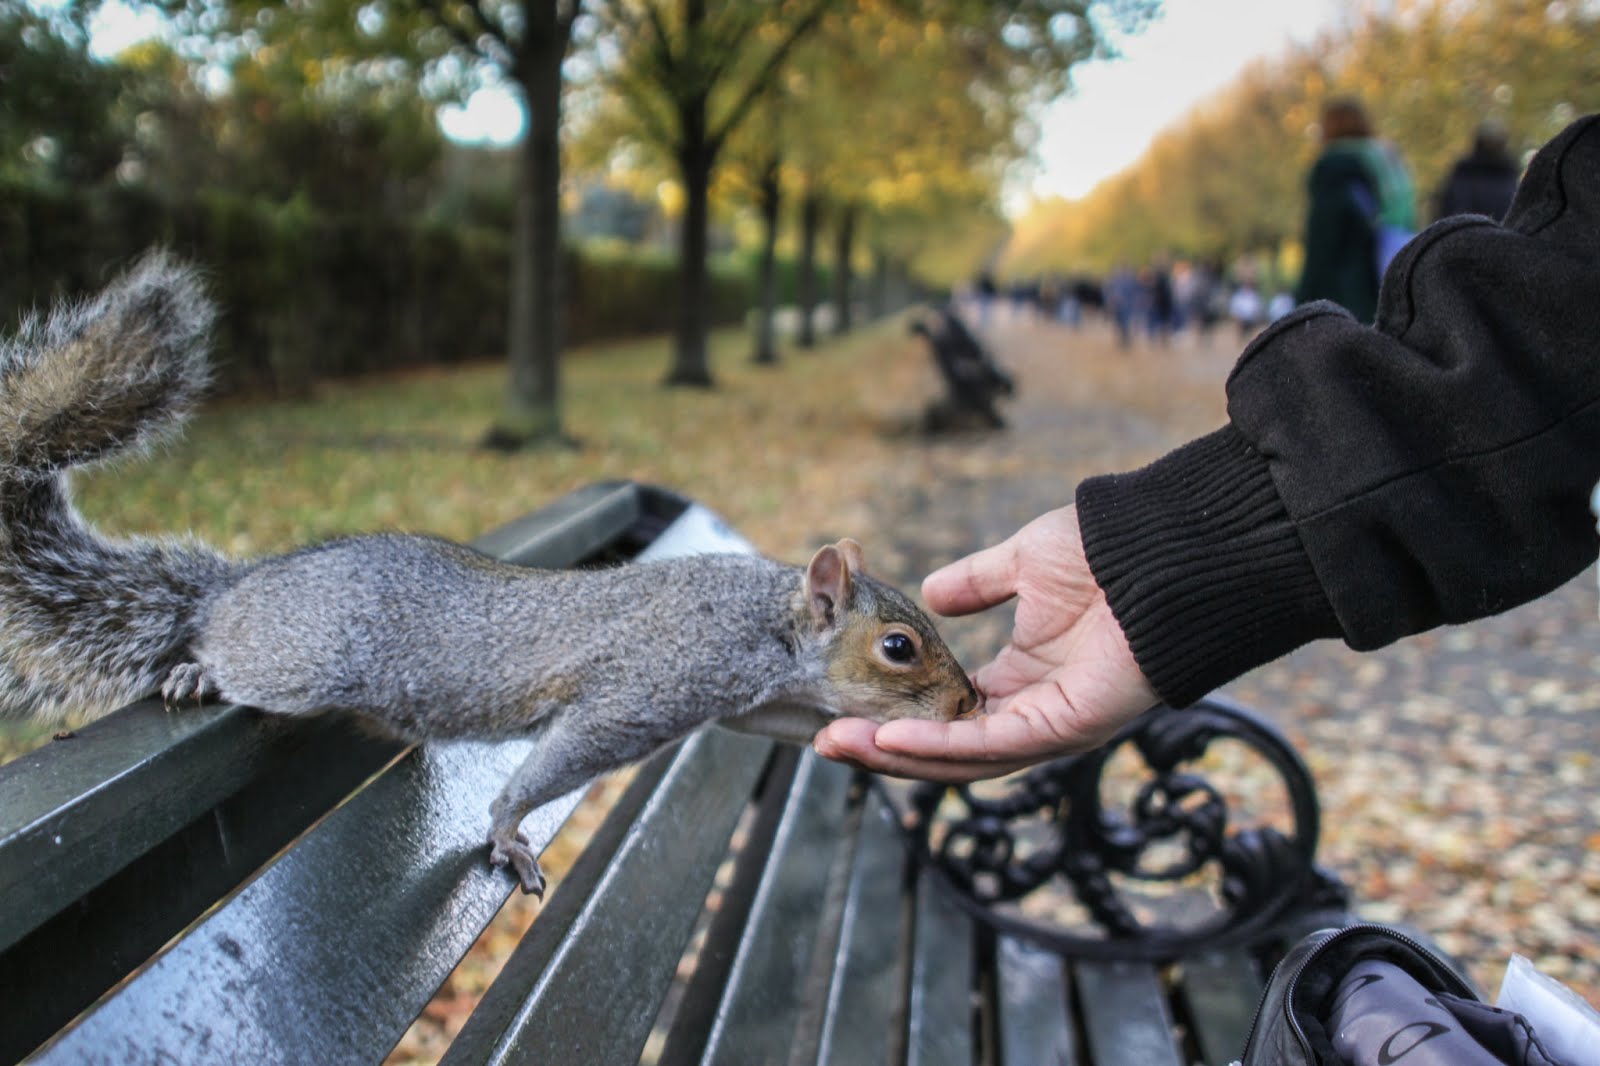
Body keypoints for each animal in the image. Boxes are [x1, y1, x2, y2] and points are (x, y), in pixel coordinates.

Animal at [0, 252, 979, 889]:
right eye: (898, 646)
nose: (970, 704)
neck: (764, 624)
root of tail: (244, 584)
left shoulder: (756, 702)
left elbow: (793, 724)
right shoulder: (650, 688)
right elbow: (558, 761)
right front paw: (508, 832)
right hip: (299, 658)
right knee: (226, 650)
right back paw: (197, 669)